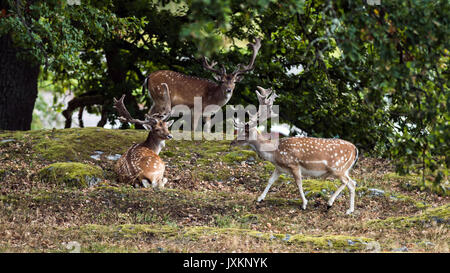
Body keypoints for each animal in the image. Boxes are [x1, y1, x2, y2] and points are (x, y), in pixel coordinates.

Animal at [232, 86, 358, 214]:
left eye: (245, 133)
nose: (232, 142)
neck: (274, 154)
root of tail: (355, 149)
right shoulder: (279, 168)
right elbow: (270, 180)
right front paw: (260, 198)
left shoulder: (294, 164)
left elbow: (299, 183)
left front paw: (304, 204)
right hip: (344, 169)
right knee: (353, 183)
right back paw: (349, 210)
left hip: (338, 168)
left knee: (346, 181)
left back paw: (330, 203)